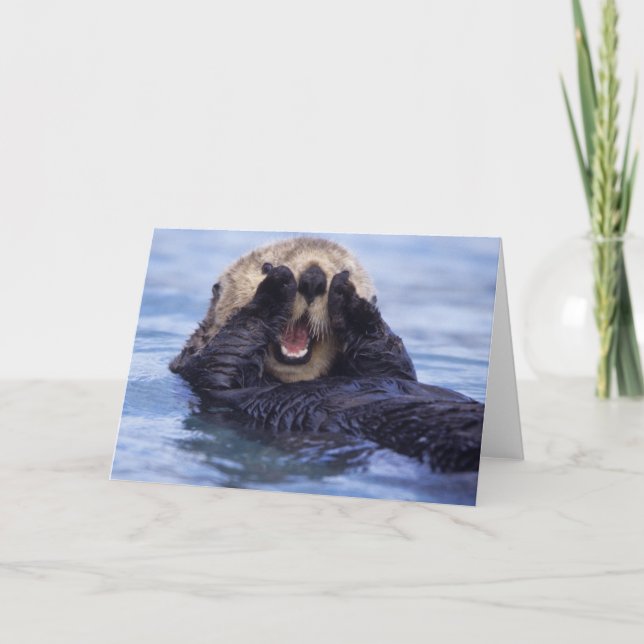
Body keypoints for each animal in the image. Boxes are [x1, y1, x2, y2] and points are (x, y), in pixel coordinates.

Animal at [170, 237, 483, 473]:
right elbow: (227, 351)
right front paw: (277, 286)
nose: (313, 278)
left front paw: (350, 300)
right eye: (265, 266)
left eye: (344, 269)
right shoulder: (201, 370)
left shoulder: (394, 371)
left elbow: (391, 359)